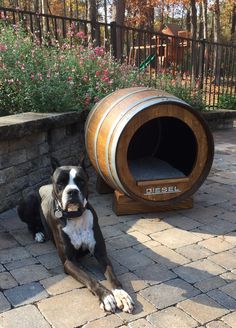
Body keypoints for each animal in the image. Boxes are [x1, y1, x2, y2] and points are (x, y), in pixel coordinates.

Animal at [17, 160, 134, 314]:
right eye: (60, 182)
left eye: (81, 181)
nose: (72, 191)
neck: (75, 216)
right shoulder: (69, 261)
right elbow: (90, 279)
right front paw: (106, 297)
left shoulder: (101, 254)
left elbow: (113, 277)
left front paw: (122, 295)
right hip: (27, 202)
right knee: (30, 225)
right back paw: (39, 234)